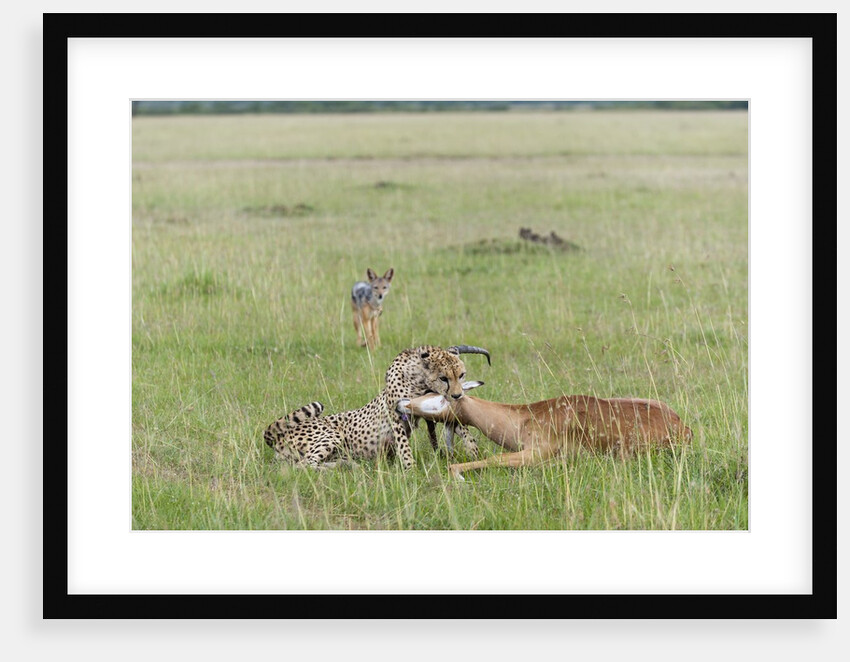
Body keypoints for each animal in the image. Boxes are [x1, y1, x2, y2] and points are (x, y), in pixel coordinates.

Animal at [263, 344, 490, 470]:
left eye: (461, 375)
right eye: (444, 377)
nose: (458, 395)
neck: (419, 380)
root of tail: (279, 436)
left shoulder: (434, 409)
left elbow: (463, 429)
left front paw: (475, 454)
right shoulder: (398, 415)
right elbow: (404, 448)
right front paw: (410, 471)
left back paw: (347, 464)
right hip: (332, 435)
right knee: (304, 465)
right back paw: (344, 467)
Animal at [398, 382, 692, 479]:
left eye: (438, 396)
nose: (402, 403)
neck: (525, 417)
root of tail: (682, 426)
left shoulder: (534, 454)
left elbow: (493, 459)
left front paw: (457, 475)